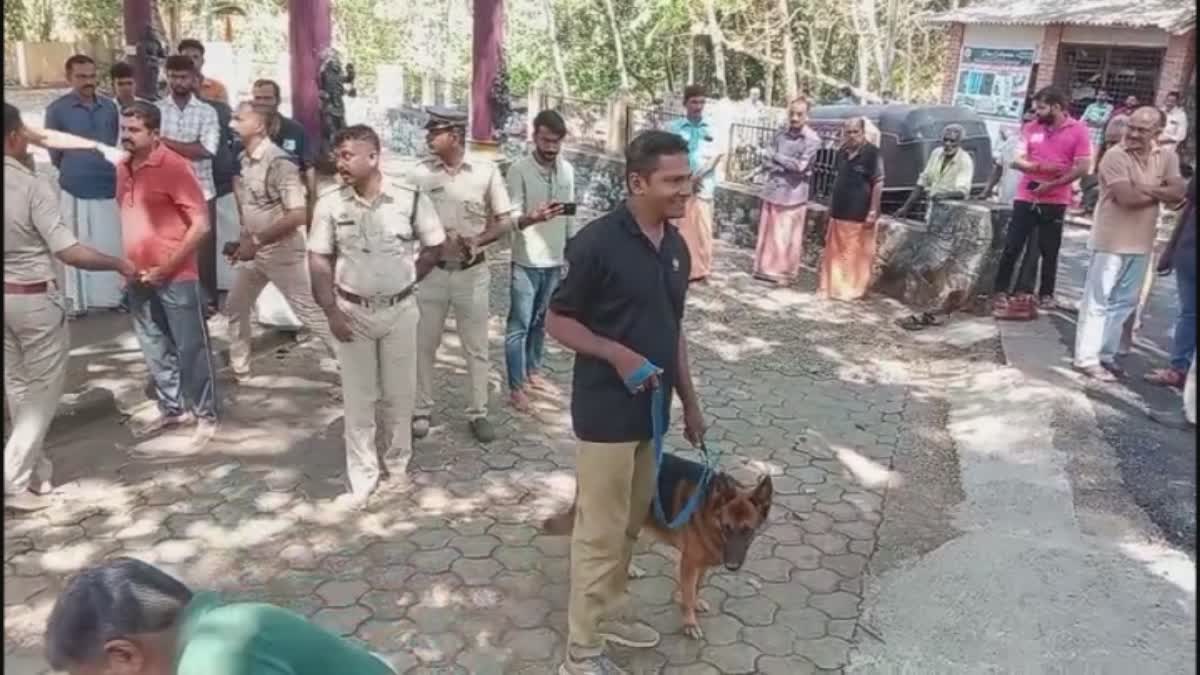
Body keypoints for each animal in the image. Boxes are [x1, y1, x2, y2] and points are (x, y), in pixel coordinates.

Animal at [542, 451, 772, 634]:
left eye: (748, 531)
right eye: (726, 528)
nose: (732, 566)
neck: (709, 509)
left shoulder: (702, 562)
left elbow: (697, 587)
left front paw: (694, 601)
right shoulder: (689, 563)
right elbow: (688, 593)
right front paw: (689, 622)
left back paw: (629, 569)